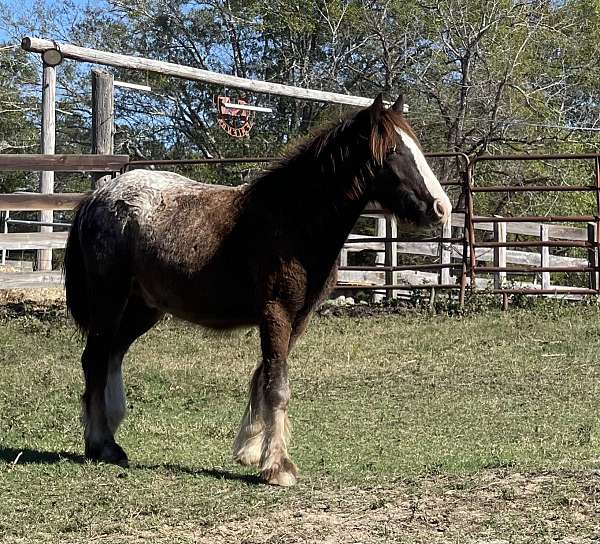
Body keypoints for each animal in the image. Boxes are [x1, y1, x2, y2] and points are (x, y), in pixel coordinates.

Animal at [64, 92, 450, 484]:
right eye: (391, 151)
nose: (441, 207)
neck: (293, 221)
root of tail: (97, 196)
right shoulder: (276, 313)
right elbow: (277, 386)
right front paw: (277, 466)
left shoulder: (298, 318)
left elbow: (261, 377)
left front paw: (250, 449)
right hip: (110, 300)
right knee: (95, 358)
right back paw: (101, 444)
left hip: (143, 308)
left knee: (113, 354)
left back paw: (111, 429)